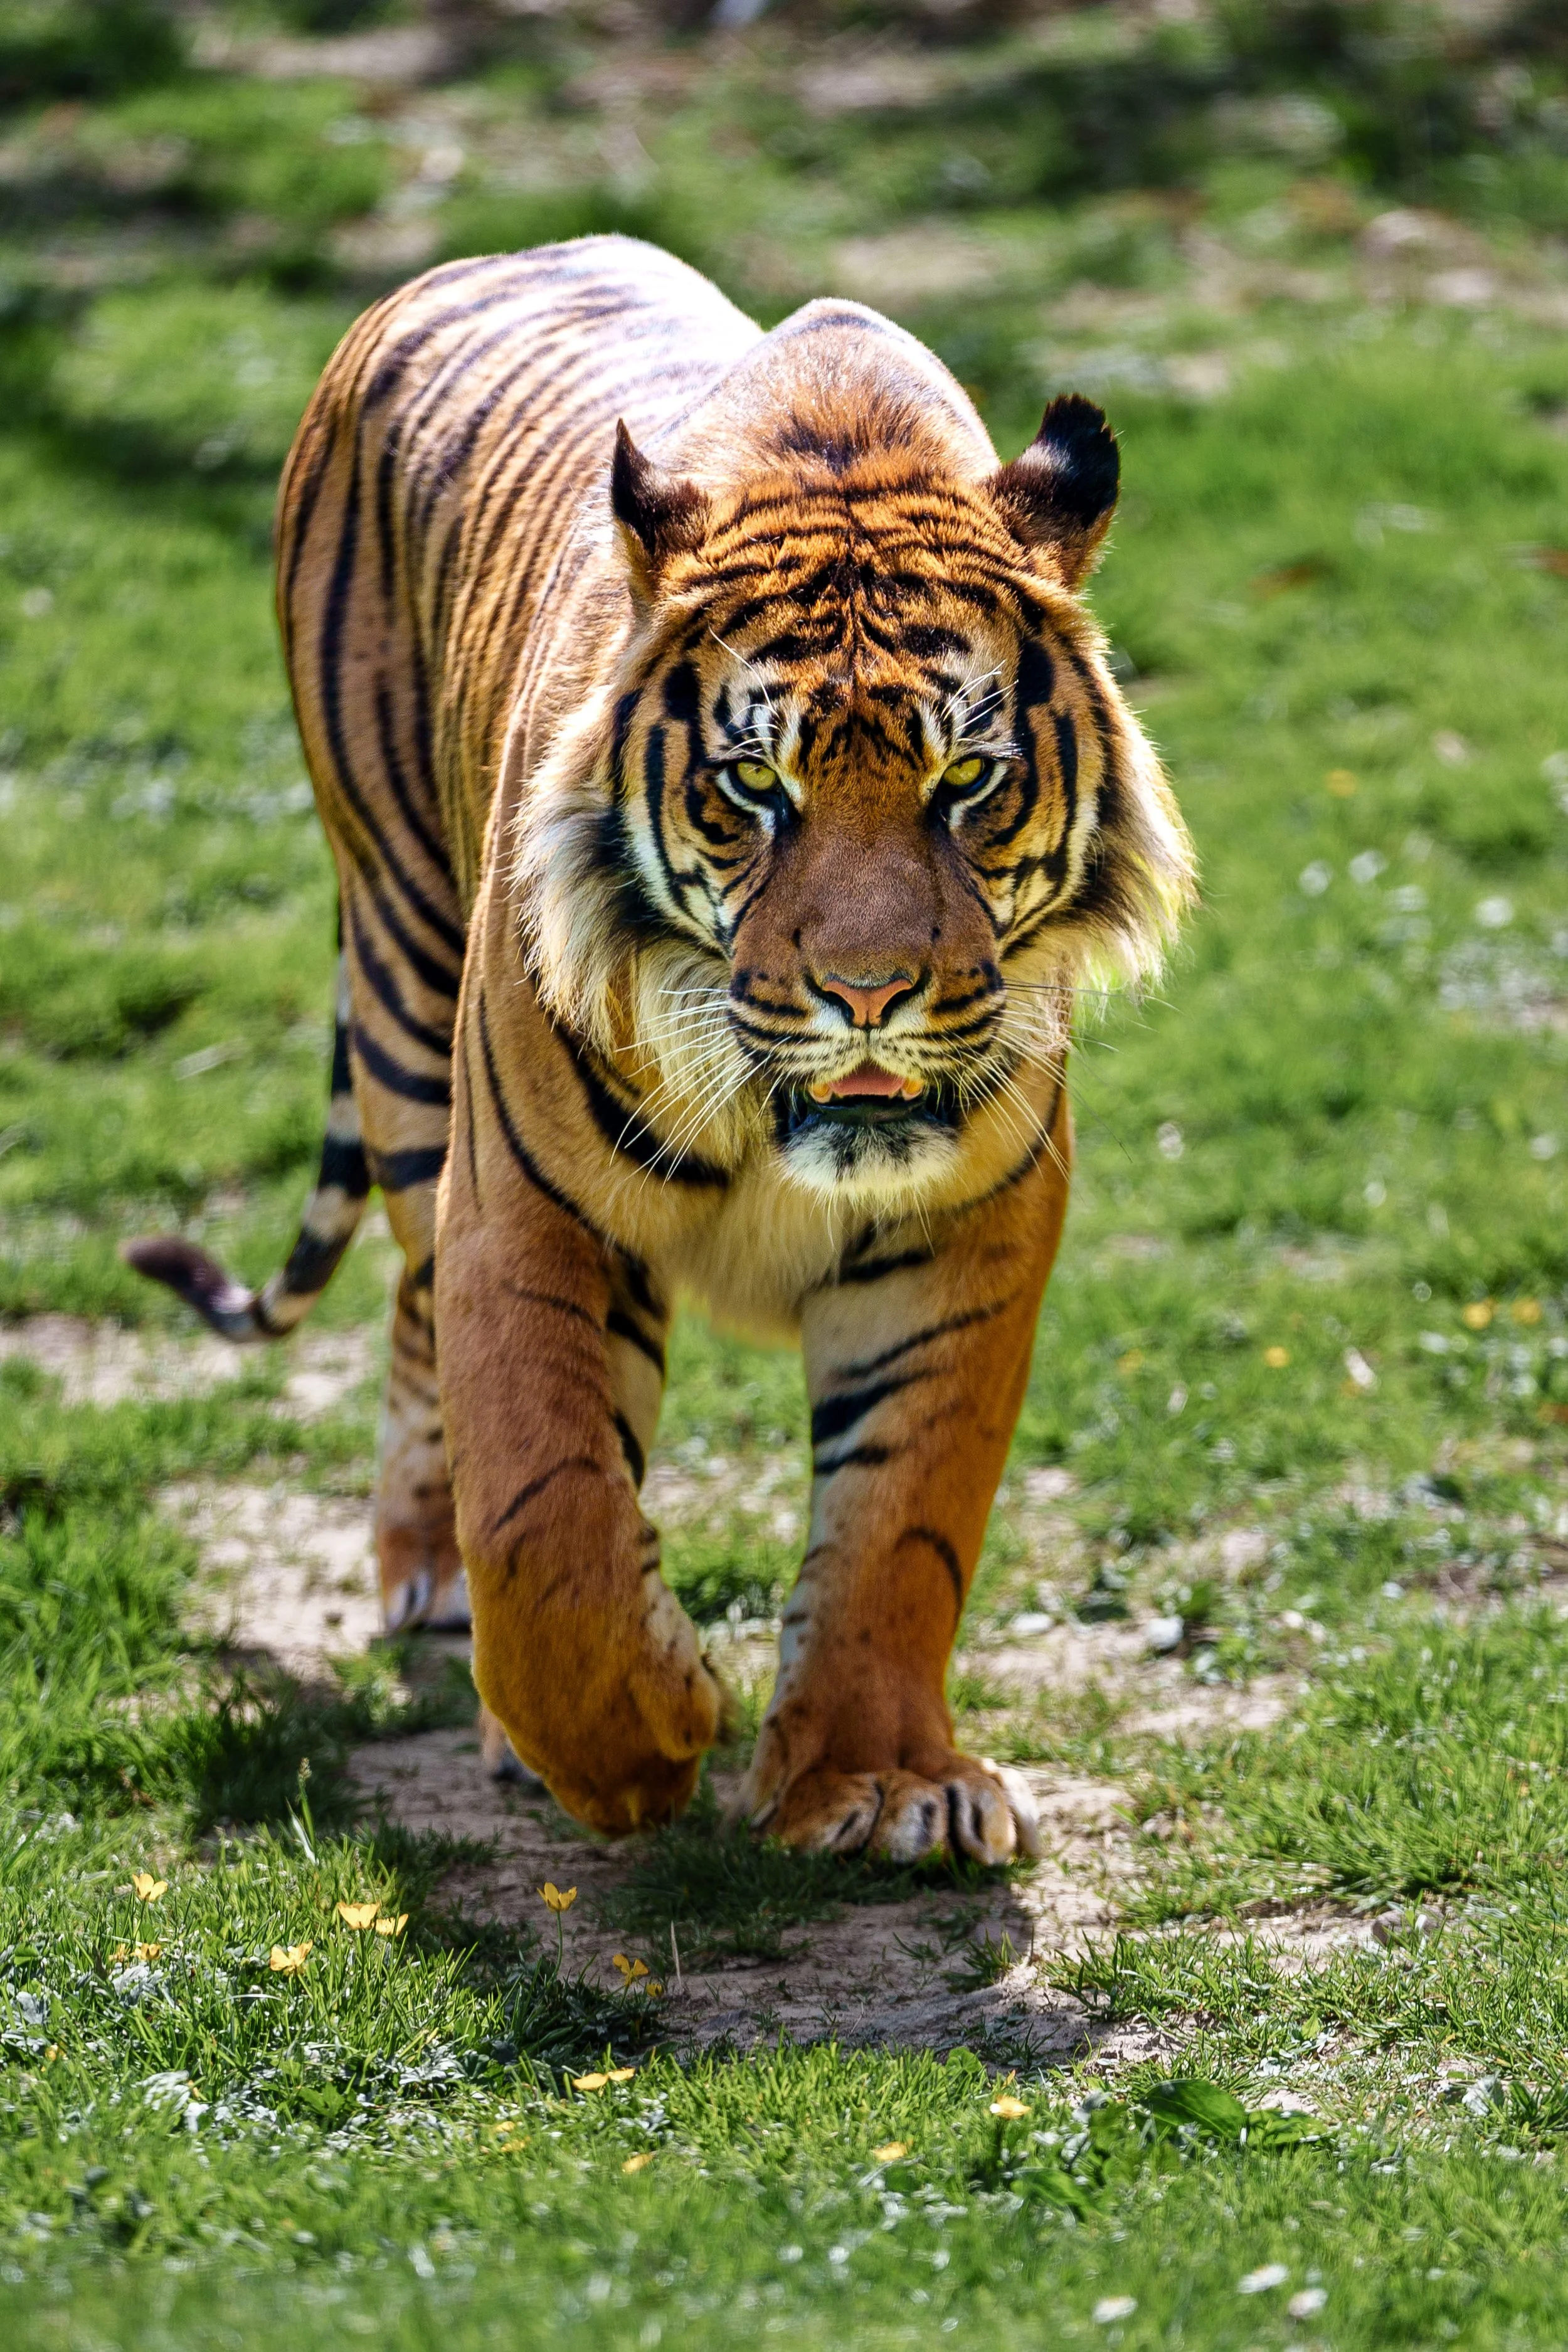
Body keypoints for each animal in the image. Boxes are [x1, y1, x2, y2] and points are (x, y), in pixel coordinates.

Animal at [125, 235, 1194, 1865]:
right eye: (755, 786)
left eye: (966, 781)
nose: (869, 992)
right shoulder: (526, 1209)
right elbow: (549, 1525)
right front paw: (641, 1736)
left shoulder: (966, 1234)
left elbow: (900, 1523)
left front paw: (879, 1779)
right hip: (403, 995)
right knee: (421, 1317)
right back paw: (431, 1578)